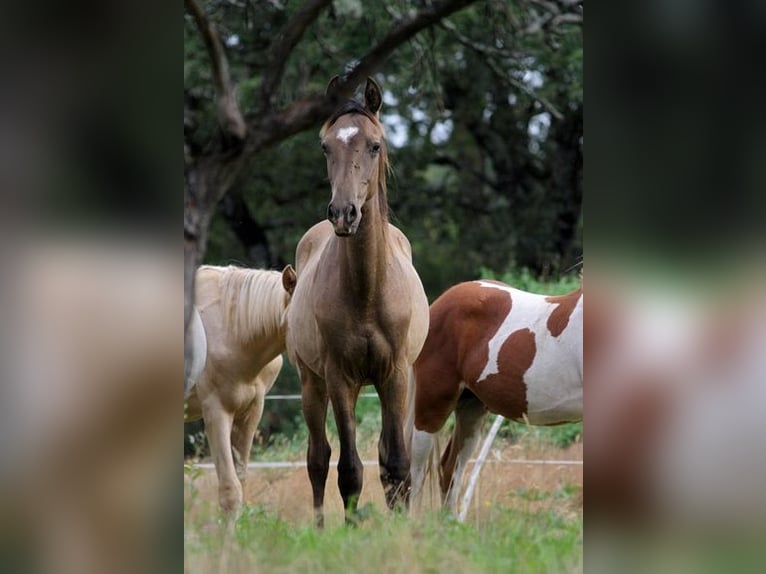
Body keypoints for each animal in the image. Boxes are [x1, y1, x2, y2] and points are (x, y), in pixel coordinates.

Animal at [288, 79, 432, 528]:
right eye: (325, 146)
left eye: (374, 145)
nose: (343, 213)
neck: (367, 293)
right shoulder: (340, 379)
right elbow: (349, 470)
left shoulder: (395, 375)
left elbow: (397, 465)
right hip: (311, 384)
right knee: (318, 459)